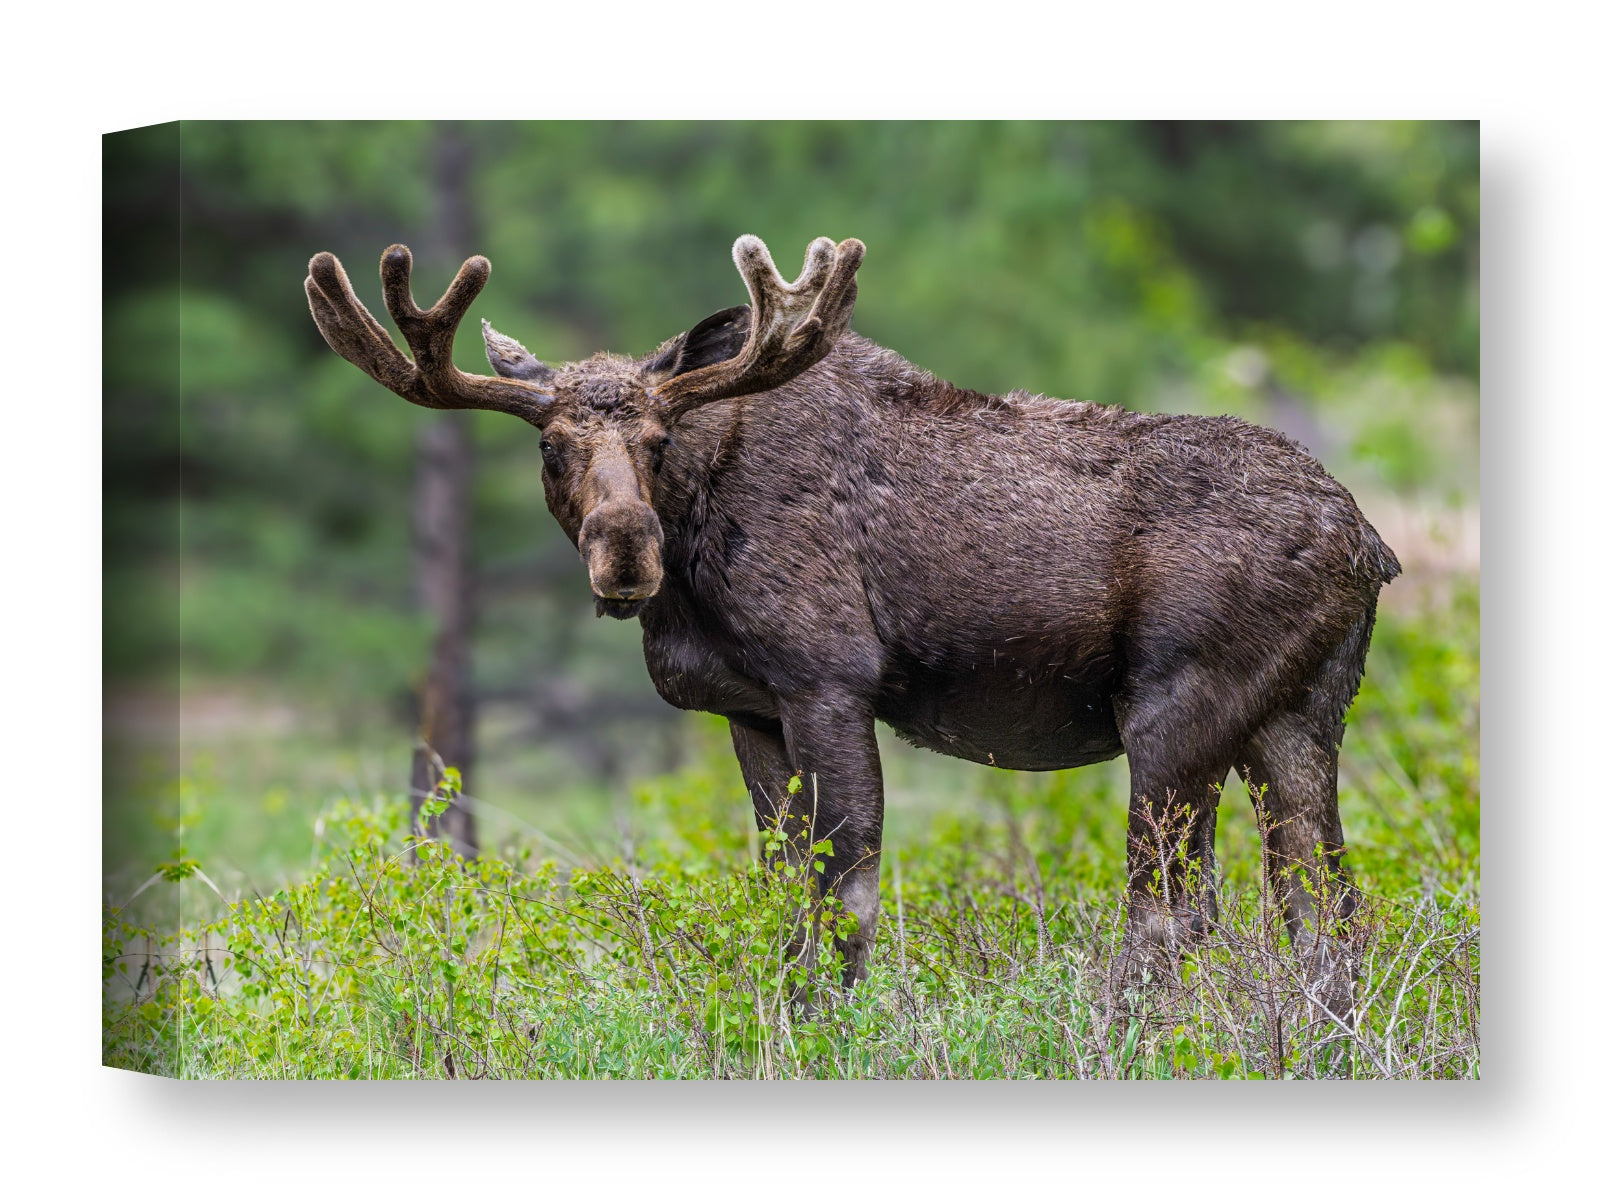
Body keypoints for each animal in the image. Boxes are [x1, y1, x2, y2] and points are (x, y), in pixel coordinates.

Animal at [305, 235, 1400, 1010]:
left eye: (658, 439)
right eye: (551, 447)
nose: (625, 554)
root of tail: (1369, 543)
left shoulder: (828, 681)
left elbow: (845, 903)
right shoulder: (747, 711)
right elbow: (781, 895)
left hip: (1177, 710)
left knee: (1174, 914)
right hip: (1299, 717)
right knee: (1326, 915)